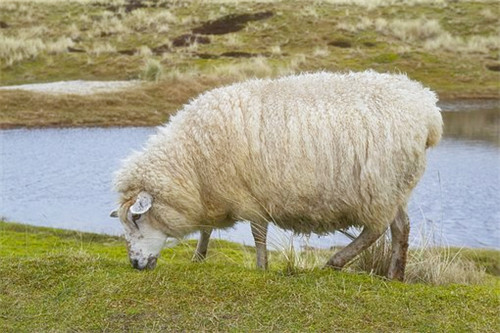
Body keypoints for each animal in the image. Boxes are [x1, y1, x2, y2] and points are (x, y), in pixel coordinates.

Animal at [109, 70, 442, 280]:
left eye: (136, 219)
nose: (135, 264)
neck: (190, 159)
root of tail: (428, 108)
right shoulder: (216, 193)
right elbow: (207, 230)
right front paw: (199, 257)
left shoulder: (248, 196)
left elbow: (258, 234)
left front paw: (261, 267)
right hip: (395, 186)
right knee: (401, 227)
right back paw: (394, 275)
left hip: (378, 186)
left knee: (376, 229)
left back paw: (335, 262)